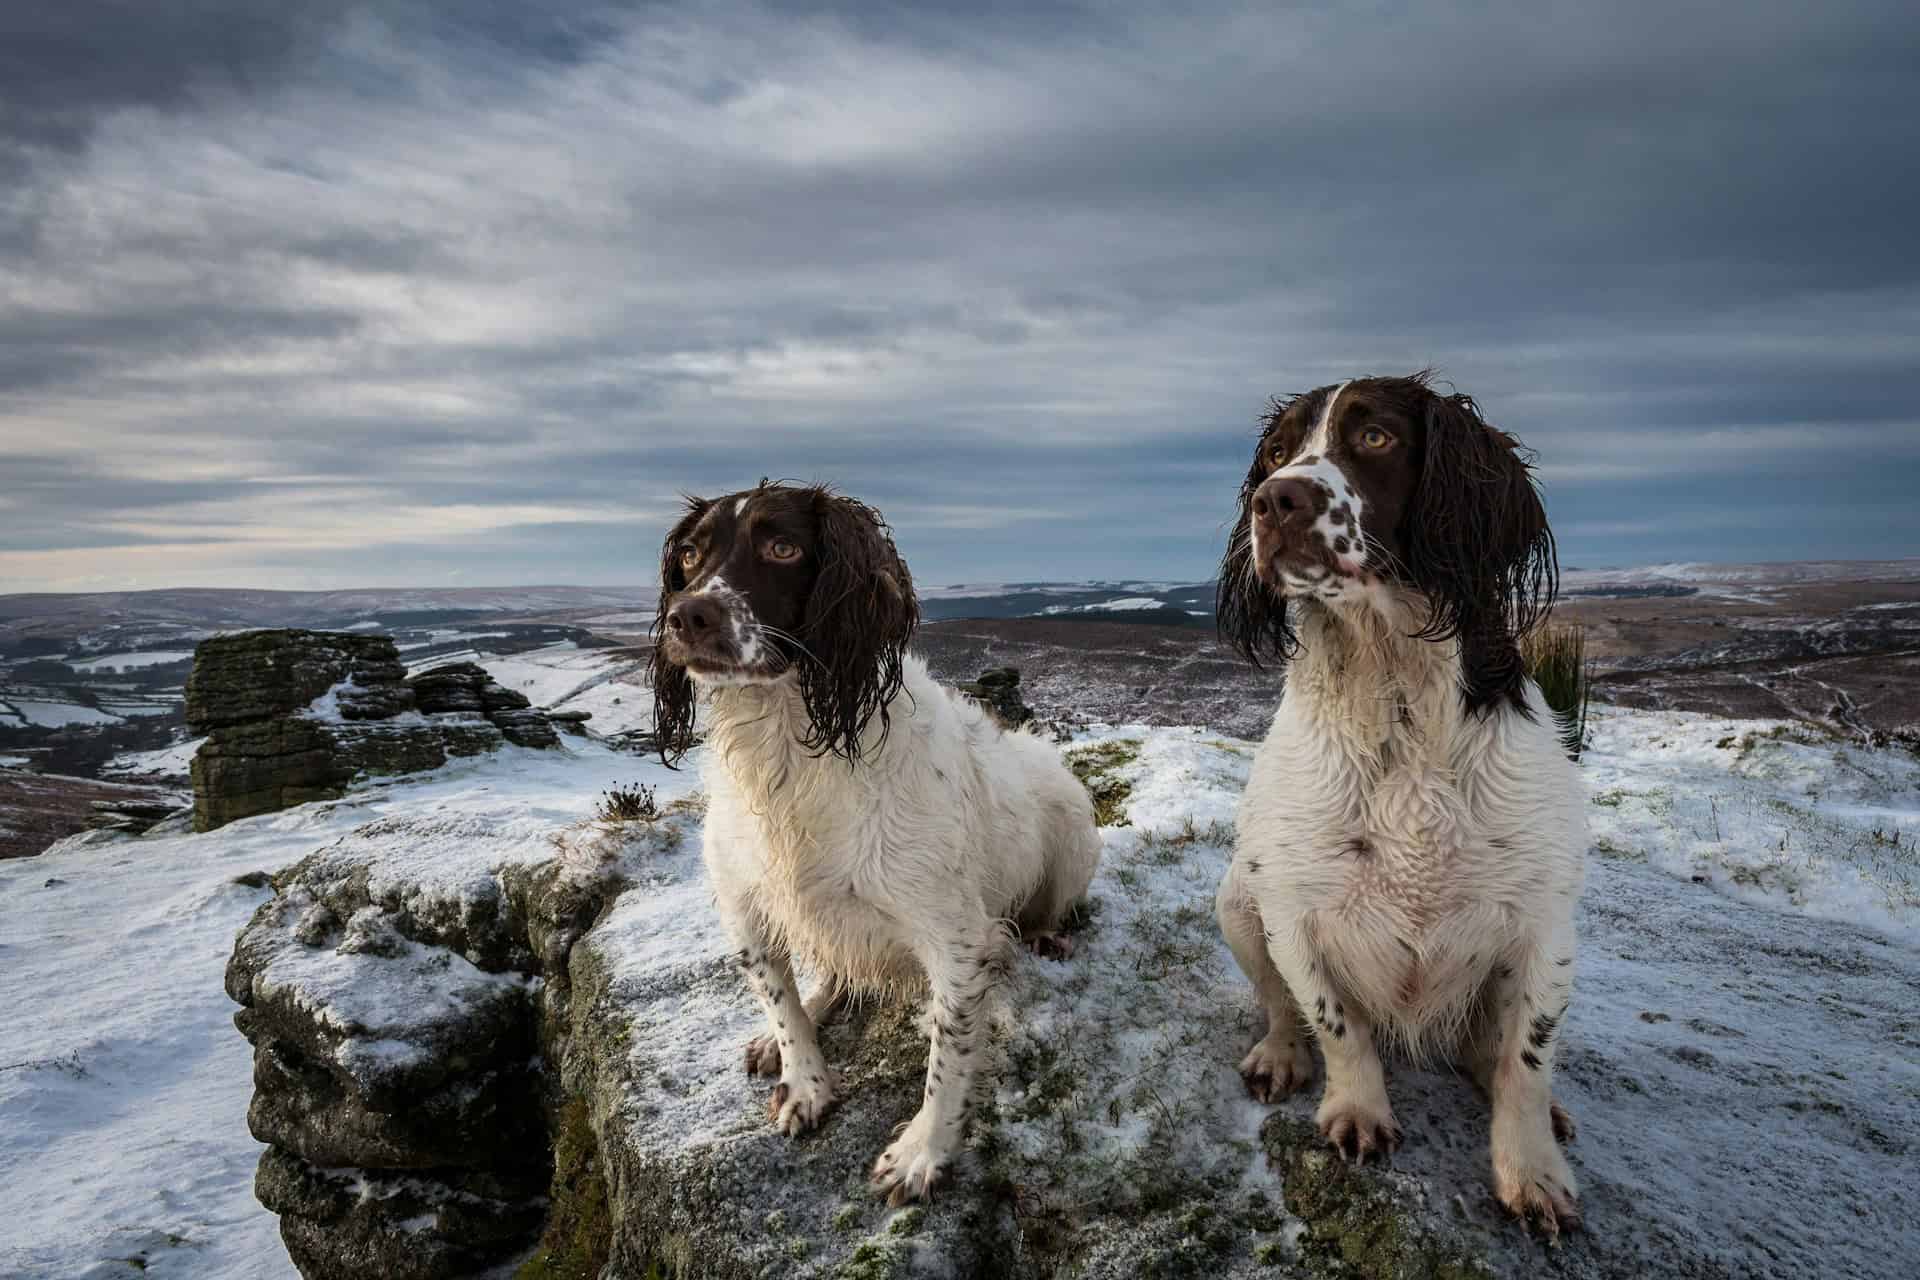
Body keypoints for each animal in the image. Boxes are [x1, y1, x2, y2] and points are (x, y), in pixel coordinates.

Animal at [652, 485, 1098, 1205]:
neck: (787, 745)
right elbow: (780, 1000)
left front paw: (923, 1150)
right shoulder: (744, 907)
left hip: (1072, 833)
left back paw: (1045, 937)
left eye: (784, 547)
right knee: (833, 973)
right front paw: (804, 1079)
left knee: (1049, 911)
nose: (685, 615)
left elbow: (950, 1051)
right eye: (690, 555)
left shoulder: (956, 938)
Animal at [1213, 376, 1589, 1235]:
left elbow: (1527, 1060)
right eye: (1277, 452)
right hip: (1235, 900)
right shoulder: (1292, 906)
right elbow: (1334, 1021)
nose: (1275, 501)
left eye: (1377, 437)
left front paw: (1531, 1171)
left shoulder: (1546, 923)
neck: (1395, 697)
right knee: (1277, 1005)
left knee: (1490, 1051)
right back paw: (1279, 1056)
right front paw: (1357, 1110)